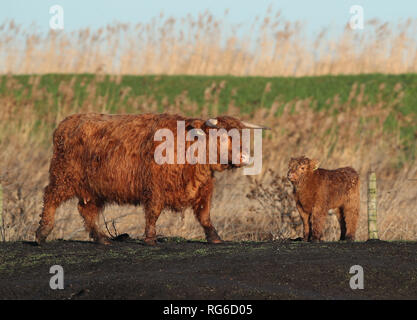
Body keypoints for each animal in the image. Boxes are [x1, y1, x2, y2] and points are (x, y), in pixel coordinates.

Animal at [35, 112, 264, 245]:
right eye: (222, 137)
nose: (244, 157)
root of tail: (66, 123)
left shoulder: (204, 189)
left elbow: (205, 215)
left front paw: (214, 237)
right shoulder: (154, 188)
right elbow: (153, 213)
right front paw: (150, 239)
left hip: (93, 189)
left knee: (86, 210)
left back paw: (102, 239)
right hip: (64, 176)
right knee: (50, 197)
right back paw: (42, 233)